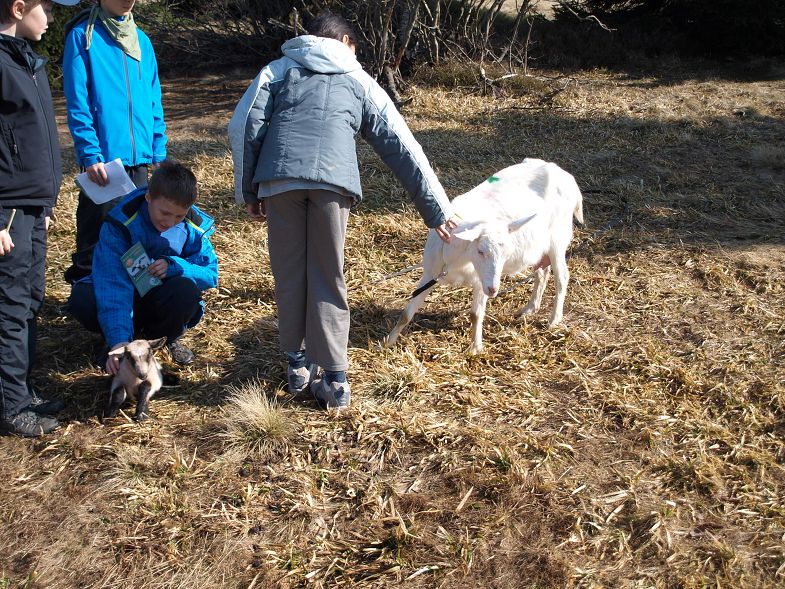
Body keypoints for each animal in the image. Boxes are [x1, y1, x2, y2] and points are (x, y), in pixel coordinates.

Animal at [384, 158, 584, 355]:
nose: (493, 290)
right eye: (480, 251)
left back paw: (554, 319)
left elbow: (475, 315)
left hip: (558, 240)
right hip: (539, 247)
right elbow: (407, 313)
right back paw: (529, 309)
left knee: (562, 277)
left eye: (505, 253)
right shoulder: (430, 273)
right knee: (542, 272)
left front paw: (475, 349)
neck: (457, 261)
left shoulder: (480, 281)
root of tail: (567, 177)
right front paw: (387, 342)